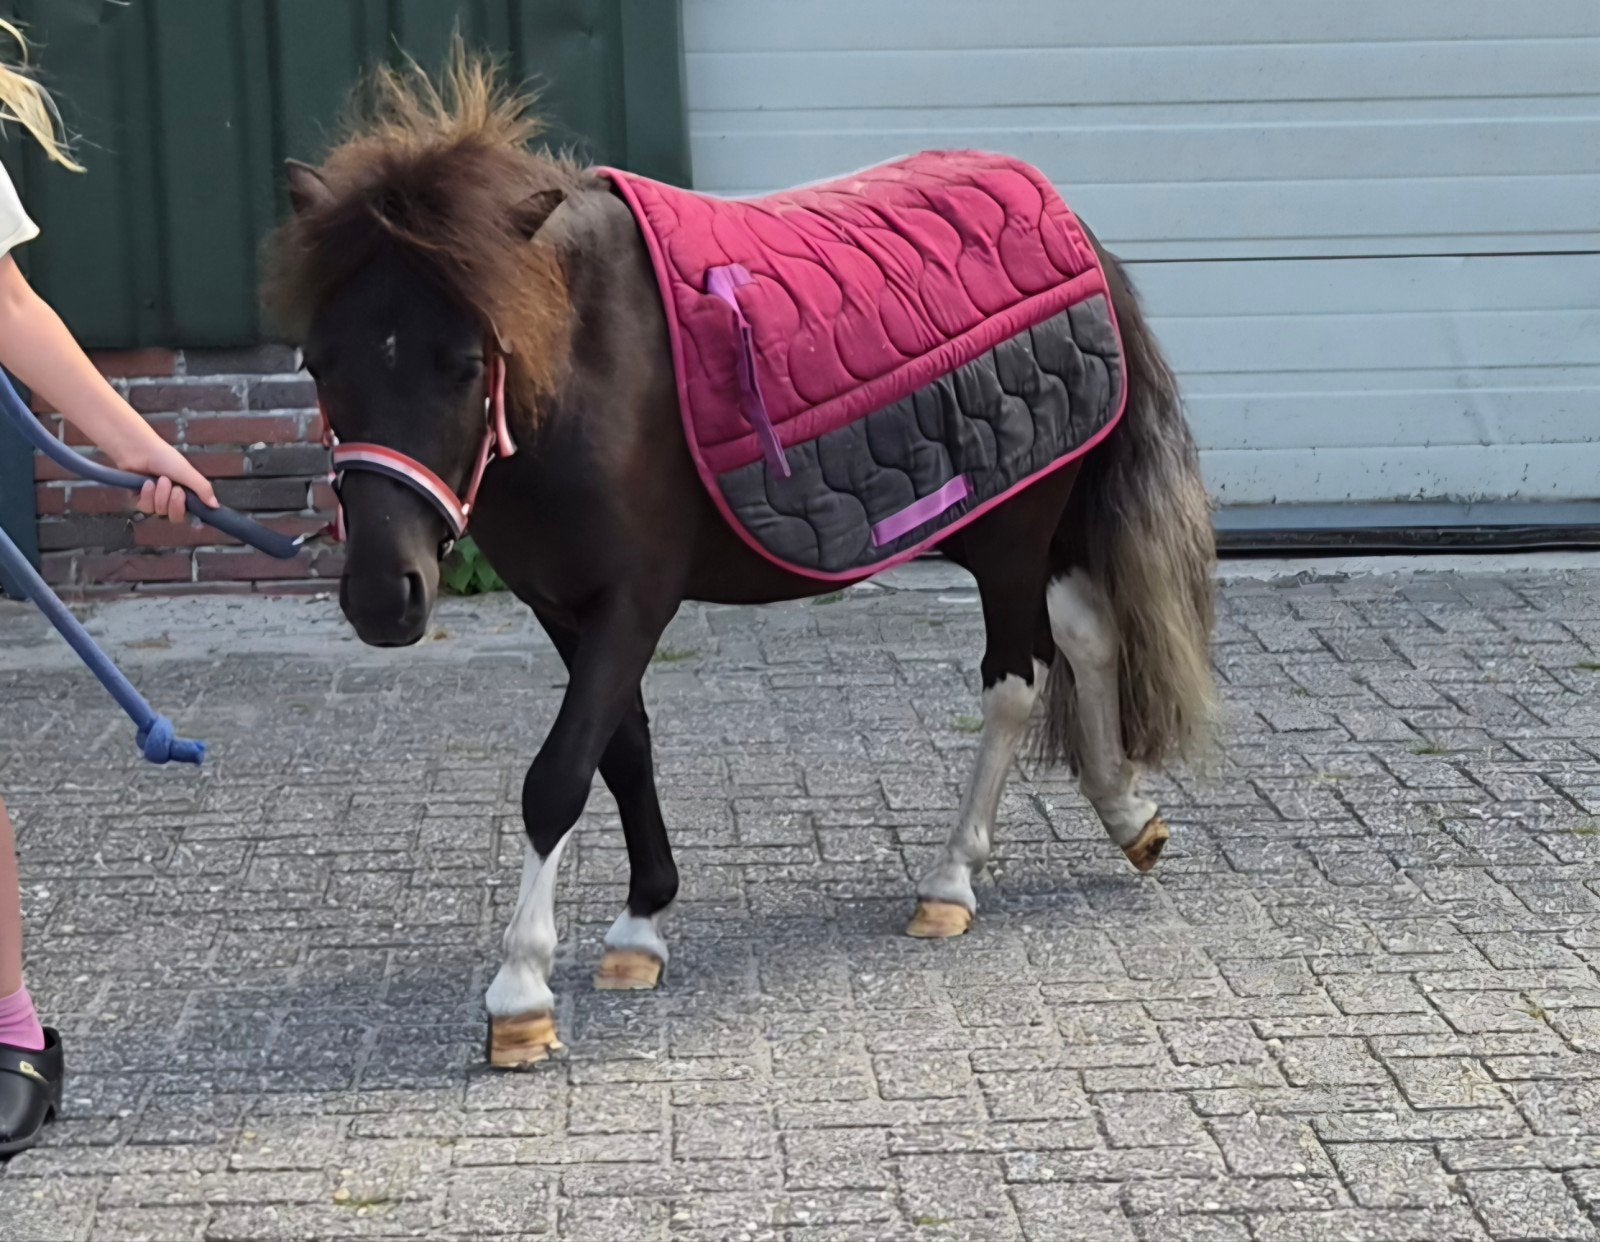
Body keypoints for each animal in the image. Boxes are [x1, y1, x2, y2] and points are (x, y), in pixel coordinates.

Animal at [263, 52, 1216, 1068]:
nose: (382, 596)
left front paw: (521, 990)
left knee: (1016, 678)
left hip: (1011, 528)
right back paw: (1128, 814)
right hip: (1012, 514)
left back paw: (951, 880)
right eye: (319, 361)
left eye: (466, 362)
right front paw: (640, 928)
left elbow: (558, 774)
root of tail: (1073, 230)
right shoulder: (562, 605)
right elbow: (621, 747)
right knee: (1086, 632)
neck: (588, 368)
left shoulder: (634, 600)